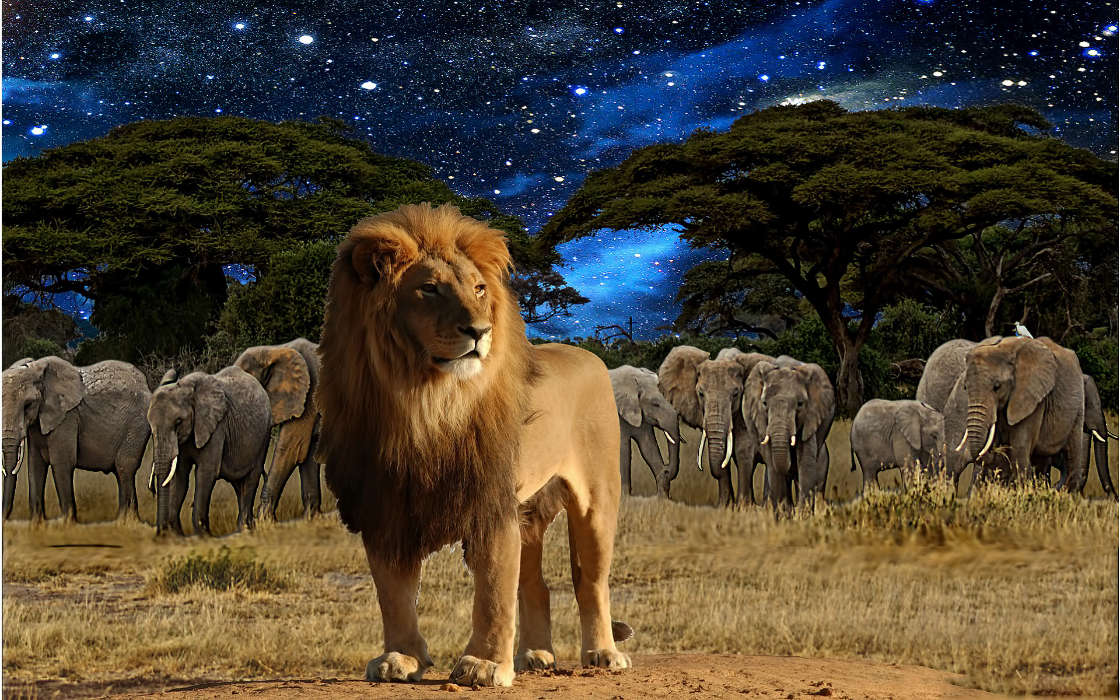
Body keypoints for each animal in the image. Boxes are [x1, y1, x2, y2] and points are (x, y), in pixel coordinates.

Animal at [316, 203, 631, 687]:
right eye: (428, 289)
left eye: (479, 289)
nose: (480, 331)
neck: (424, 402)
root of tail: (589, 355)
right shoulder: (385, 504)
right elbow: (393, 591)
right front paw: (400, 658)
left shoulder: (490, 502)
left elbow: (494, 590)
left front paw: (483, 665)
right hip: (530, 510)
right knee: (536, 584)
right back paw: (536, 655)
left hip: (597, 500)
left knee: (590, 581)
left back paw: (603, 653)